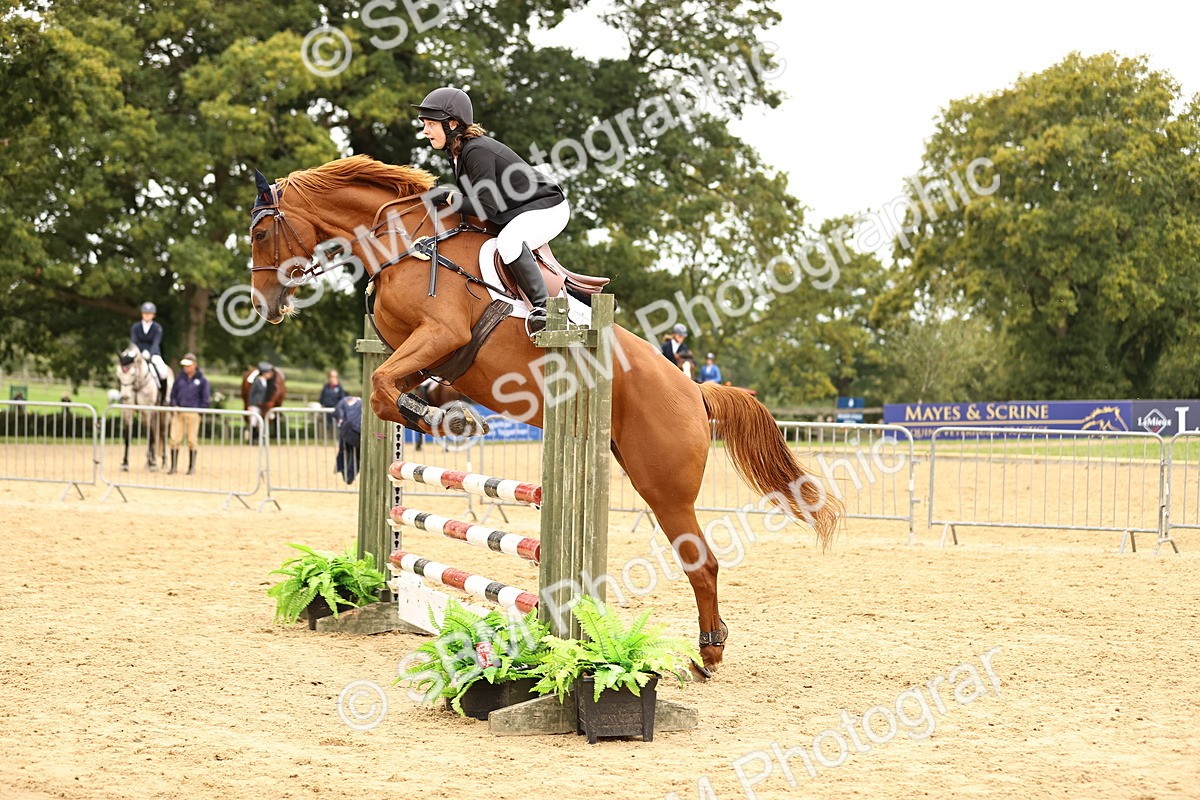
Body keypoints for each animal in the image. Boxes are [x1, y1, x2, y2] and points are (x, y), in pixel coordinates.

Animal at [247, 155, 840, 673]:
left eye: (258, 235)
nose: (263, 306)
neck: (404, 246)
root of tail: (694, 390)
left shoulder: (440, 335)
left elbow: (378, 386)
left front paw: (455, 420)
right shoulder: (421, 356)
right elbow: (384, 392)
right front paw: (453, 417)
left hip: (663, 487)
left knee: (703, 561)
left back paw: (710, 651)